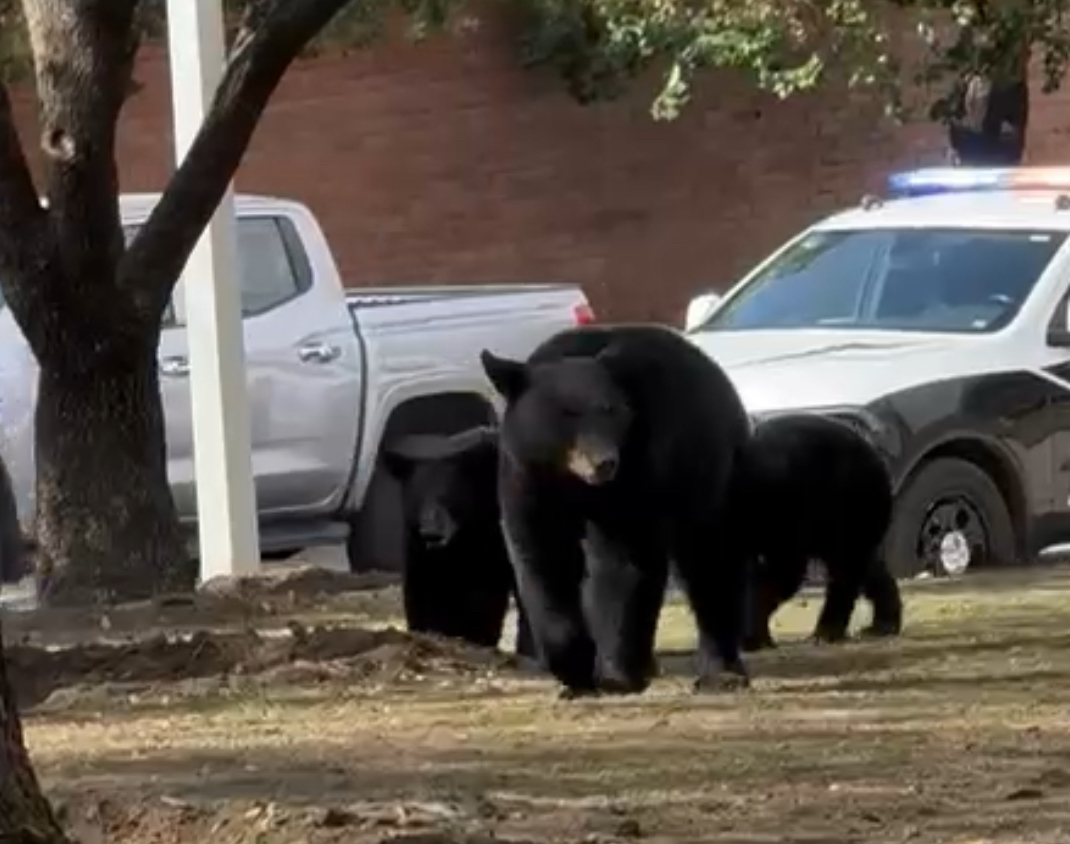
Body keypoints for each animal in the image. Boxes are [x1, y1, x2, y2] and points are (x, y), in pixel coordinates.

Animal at [481, 323, 757, 697]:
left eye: (609, 409)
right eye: (566, 413)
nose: (605, 462)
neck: (573, 482)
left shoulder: (636, 475)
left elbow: (622, 562)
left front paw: (615, 675)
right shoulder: (526, 479)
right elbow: (542, 559)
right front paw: (574, 670)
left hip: (716, 472)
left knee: (713, 560)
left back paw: (721, 673)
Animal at [740, 410, 907, 650]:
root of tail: (876, 453)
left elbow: (783, 570)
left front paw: (752, 638)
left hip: (851, 502)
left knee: (846, 567)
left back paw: (826, 633)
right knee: (867, 564)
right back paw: (880, 626)